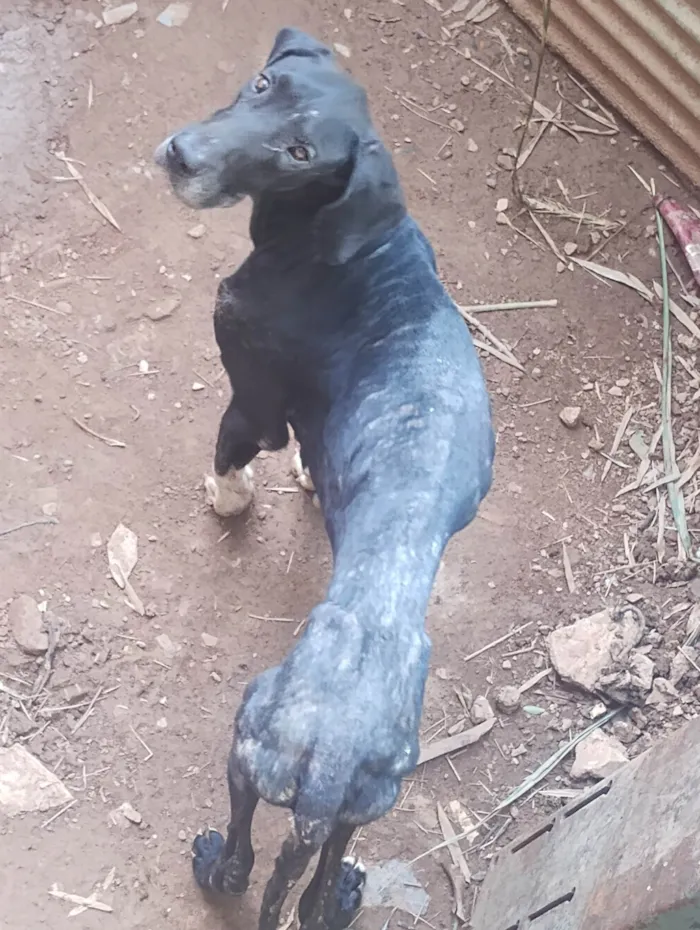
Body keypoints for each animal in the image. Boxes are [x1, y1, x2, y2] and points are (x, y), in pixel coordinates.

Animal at [154, 27, 492, 928]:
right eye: (260, 84)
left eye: (301, 153)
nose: (180, 155)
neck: (349, 241)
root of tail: (327, 772)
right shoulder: (308, 410)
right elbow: (309, 450)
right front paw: (309, 479)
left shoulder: (254, 396)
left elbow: (232, 454)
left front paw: (228, 501)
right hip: (359, 812)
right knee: (308, 895)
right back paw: (338, 893)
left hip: (244, 749)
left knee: (243, 863)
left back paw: (213, 862)